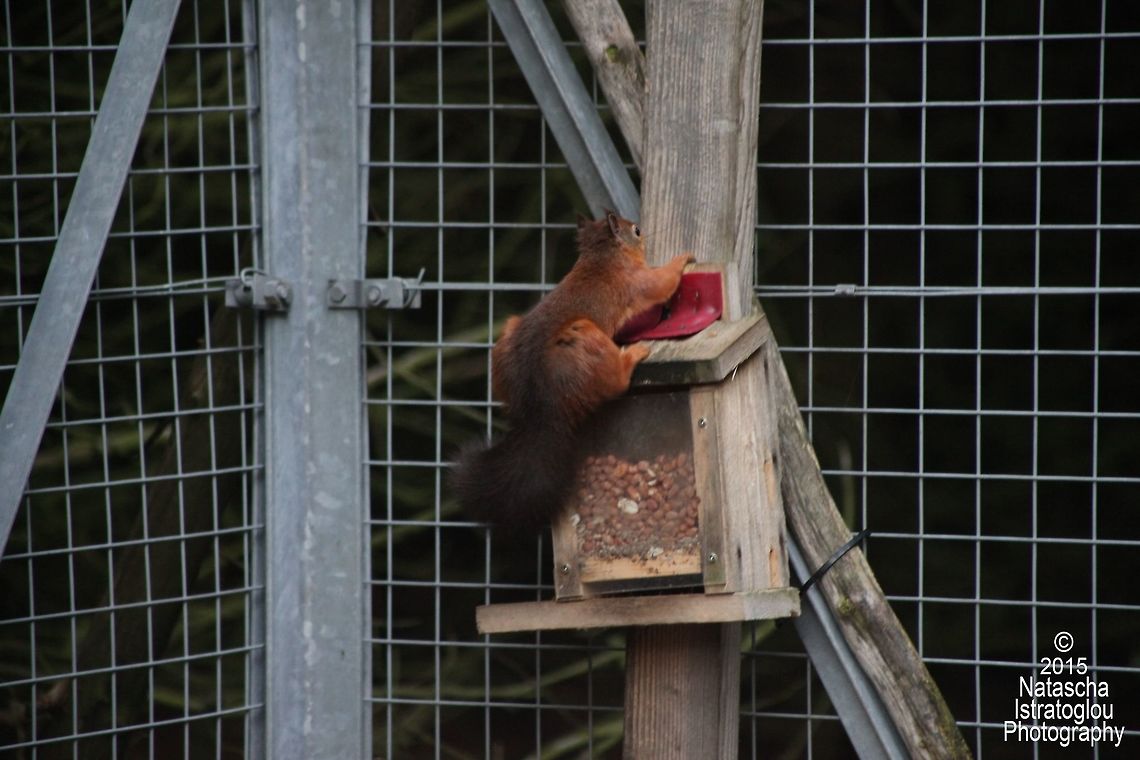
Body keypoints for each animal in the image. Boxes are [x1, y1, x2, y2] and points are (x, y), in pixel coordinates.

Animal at [451, 210, 692, 533]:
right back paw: (632, 355)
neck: (601, 254)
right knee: (617, 383)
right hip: (587, 341)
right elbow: (661, 283)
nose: (644, 234)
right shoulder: (636, 281)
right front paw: (684, 258)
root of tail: (539, 404)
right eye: (637, 230)